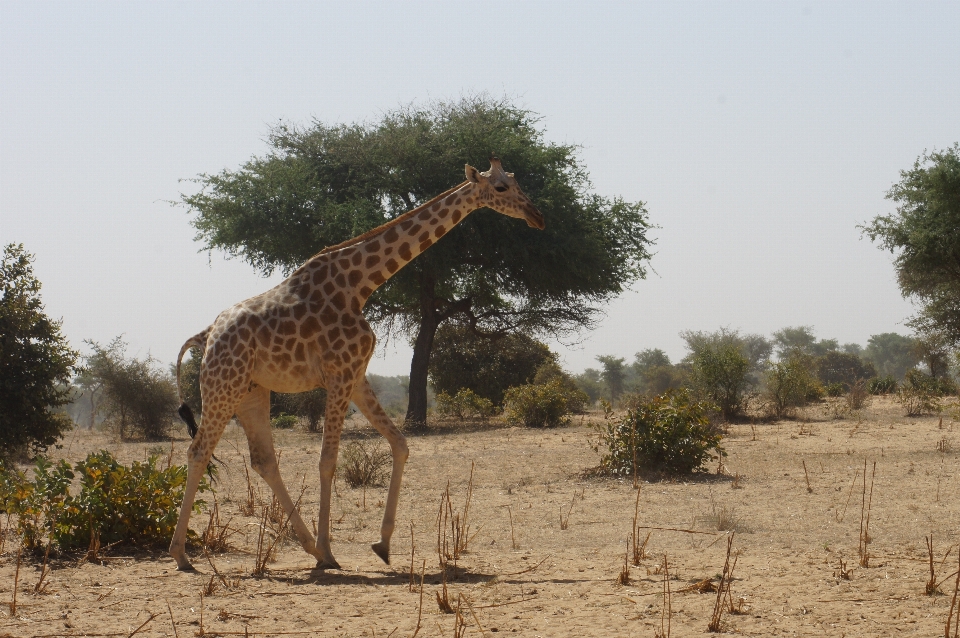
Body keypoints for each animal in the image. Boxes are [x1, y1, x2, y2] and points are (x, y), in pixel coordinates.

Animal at [169, 158, 544, 572]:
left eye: (516, 181)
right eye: (500, 188)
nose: (537, 216)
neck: (359, 285)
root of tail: (206, 335)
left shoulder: (357, 375)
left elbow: (400, 444)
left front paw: (381, 544)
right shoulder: (339, 374)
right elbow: (327, 460)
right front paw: (332, 551)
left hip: (252, 390)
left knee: (264, 460)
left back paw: (307, 547)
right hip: (223, 385)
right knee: (198, 452)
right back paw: (182, 554)